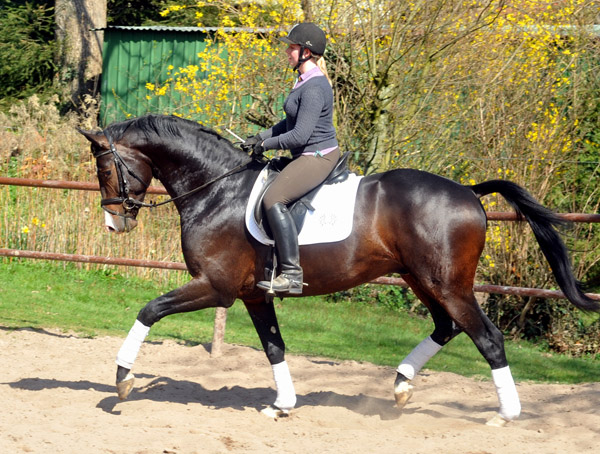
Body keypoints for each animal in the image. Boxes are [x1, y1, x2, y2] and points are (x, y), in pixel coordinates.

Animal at [81, 113, 600, 426]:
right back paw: (401, 386)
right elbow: (274, 347)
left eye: (106, 171)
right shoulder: (253, 293)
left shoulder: (216, 287)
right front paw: (282, 405)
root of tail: (468, 192)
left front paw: (122, 381)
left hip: (448, 284)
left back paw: (504, 414)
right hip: (422, 279)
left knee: (487, 338)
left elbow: (149, 311)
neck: (217, 190)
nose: (115, 223)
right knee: (446, 327)